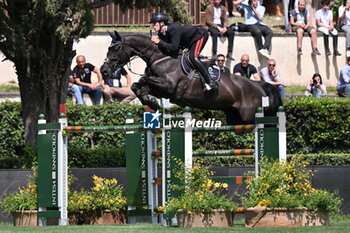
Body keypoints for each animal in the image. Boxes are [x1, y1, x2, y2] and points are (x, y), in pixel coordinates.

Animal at [103, 32, 282, 125]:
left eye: (116, 49)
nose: (104, 70)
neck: (160, 57)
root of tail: (260, 86)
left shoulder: (168, 87)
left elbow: (141, 81)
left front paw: (150, 101)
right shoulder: (161, 89)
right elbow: (137, 85)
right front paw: (150, 101)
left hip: (249, 117)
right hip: (234, 117)